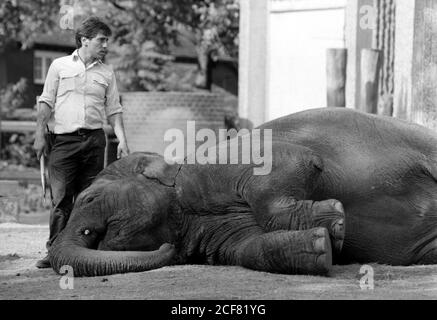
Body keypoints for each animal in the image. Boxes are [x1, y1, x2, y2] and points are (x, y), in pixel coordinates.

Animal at [47, 108, 436, 278]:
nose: (169, 249)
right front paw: (322, 245)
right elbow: (251, 250)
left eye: (89, 198)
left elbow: (295, 160)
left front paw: (336, 223)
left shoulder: (217, 164)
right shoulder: (215, 235)